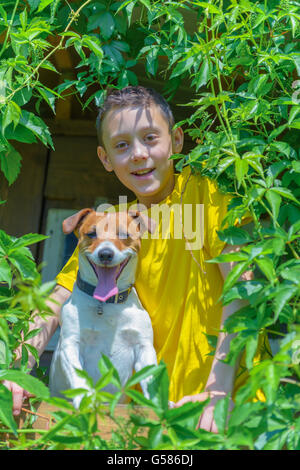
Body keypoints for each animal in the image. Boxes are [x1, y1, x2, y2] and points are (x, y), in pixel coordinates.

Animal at [49, 209, 157, 408]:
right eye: (92, 234)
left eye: (123, 235)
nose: (105, 254)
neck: (106, 304)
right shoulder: (71, 344)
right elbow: (78, 376)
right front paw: (85, 399)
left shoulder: (143, 346)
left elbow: (152, 378)